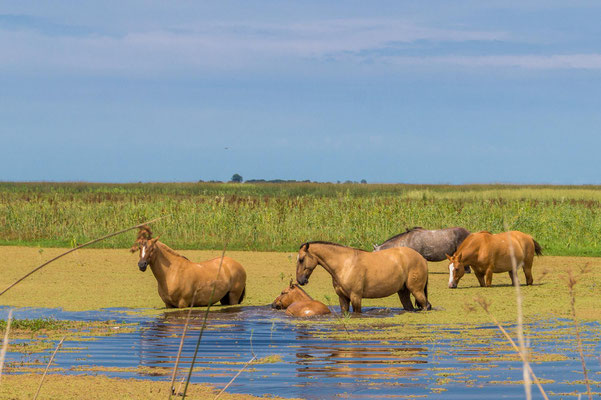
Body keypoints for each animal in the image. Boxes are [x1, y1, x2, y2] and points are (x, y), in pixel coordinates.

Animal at [294, 239, 426, 314]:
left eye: (301, 259)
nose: (300, 280)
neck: (344, 264)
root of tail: (421, 258)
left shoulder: (356, 297)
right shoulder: (343, 298)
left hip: (417, 291)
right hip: (403, 292)